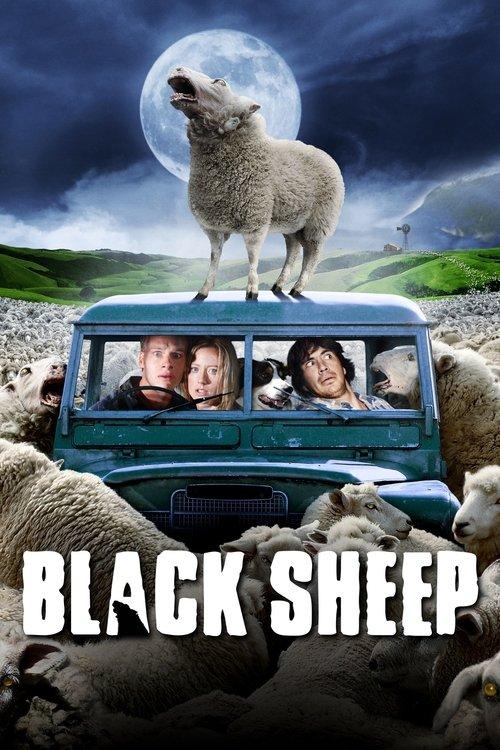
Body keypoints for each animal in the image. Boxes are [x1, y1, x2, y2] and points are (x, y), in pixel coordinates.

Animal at [168, 67, 344, 299]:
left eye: (221, 82)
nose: (178, 68)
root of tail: (326, 155)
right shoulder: (213, 227)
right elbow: (214, 258)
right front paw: (203, 291)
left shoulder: (255, 219)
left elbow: (252, 256)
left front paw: (252, 291)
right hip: (292, 221)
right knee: (293, 249)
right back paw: (279, 285)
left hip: (319, 221)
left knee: (312, 254)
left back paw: (298, 287)